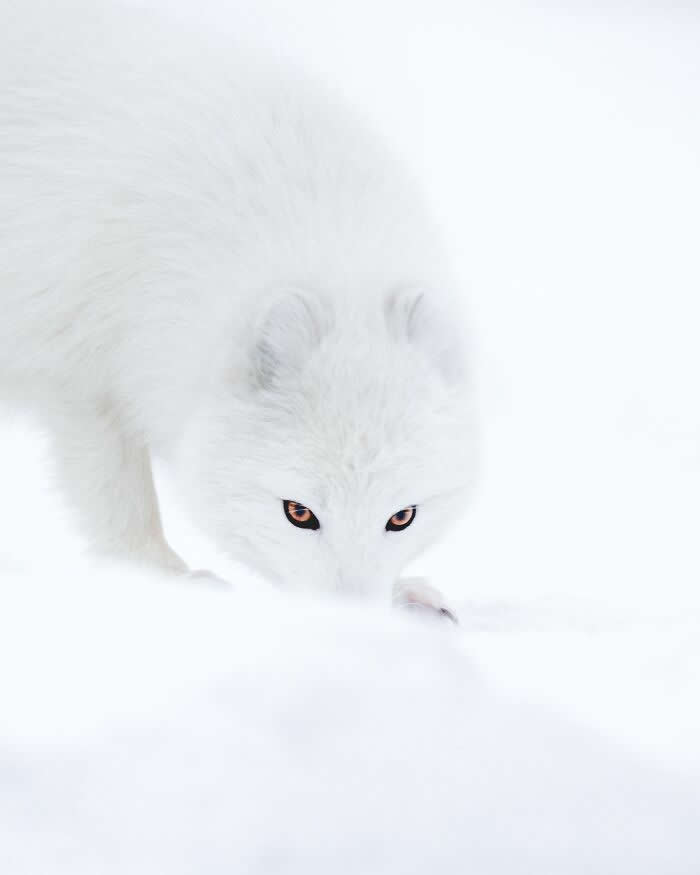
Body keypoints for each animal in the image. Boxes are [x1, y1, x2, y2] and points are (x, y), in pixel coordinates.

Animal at [0, 2, 474, 617]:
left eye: (402, 517)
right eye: (298, 512)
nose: (351, 624)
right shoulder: (84, 381)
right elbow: (121, 500)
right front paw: (165, 580)